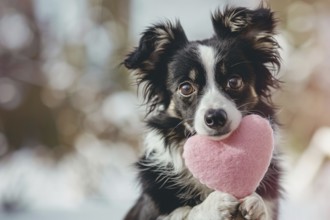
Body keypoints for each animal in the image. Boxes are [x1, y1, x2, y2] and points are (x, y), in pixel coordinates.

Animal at [122, 6, 282, 219]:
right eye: (186, 88)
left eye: (234, 81)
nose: (215, 118)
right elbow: (186, 212)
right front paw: (214, 203)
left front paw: (256, 203)